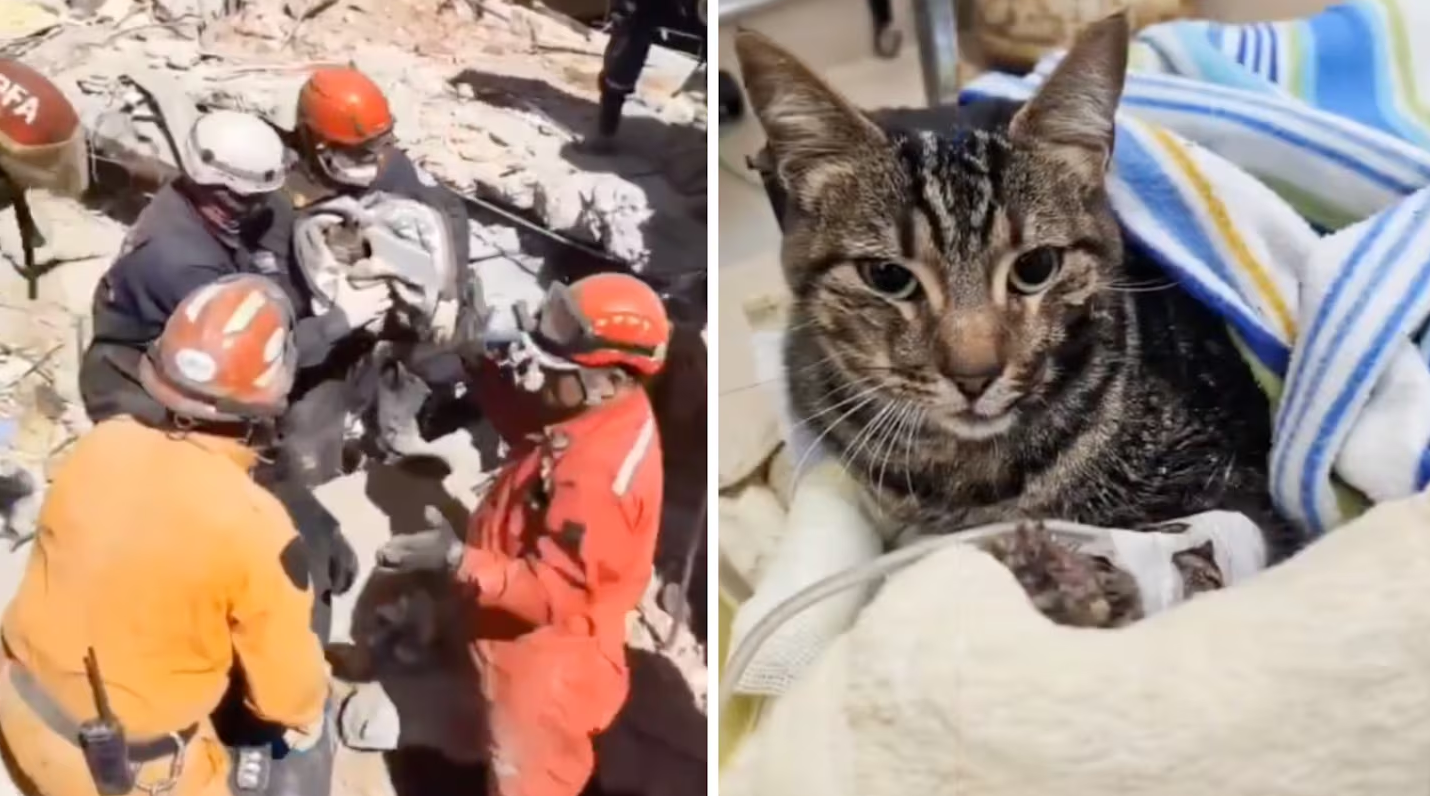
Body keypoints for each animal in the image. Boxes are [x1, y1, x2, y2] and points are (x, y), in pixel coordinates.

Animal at [737, 13, 1298, 620]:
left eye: (1035, 267)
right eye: (887, 277)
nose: (974, 375)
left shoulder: (1241, 488)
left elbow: (1200, 555)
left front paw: (1074, 581)